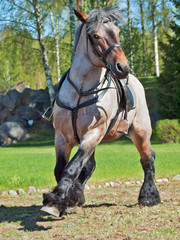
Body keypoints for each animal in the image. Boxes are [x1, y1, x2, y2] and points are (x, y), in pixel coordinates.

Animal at [41, 5, 161, 217]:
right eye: (96, 35)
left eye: (118, 32)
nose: (123, 67)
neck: (81, 91)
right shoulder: (62, 137)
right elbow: (61, 168)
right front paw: (68, 197)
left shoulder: (93, 133)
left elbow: (71, 168)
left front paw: (57, 201)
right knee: (90, 165)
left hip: (140, 133)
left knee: (148, 159)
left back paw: (148, 196)